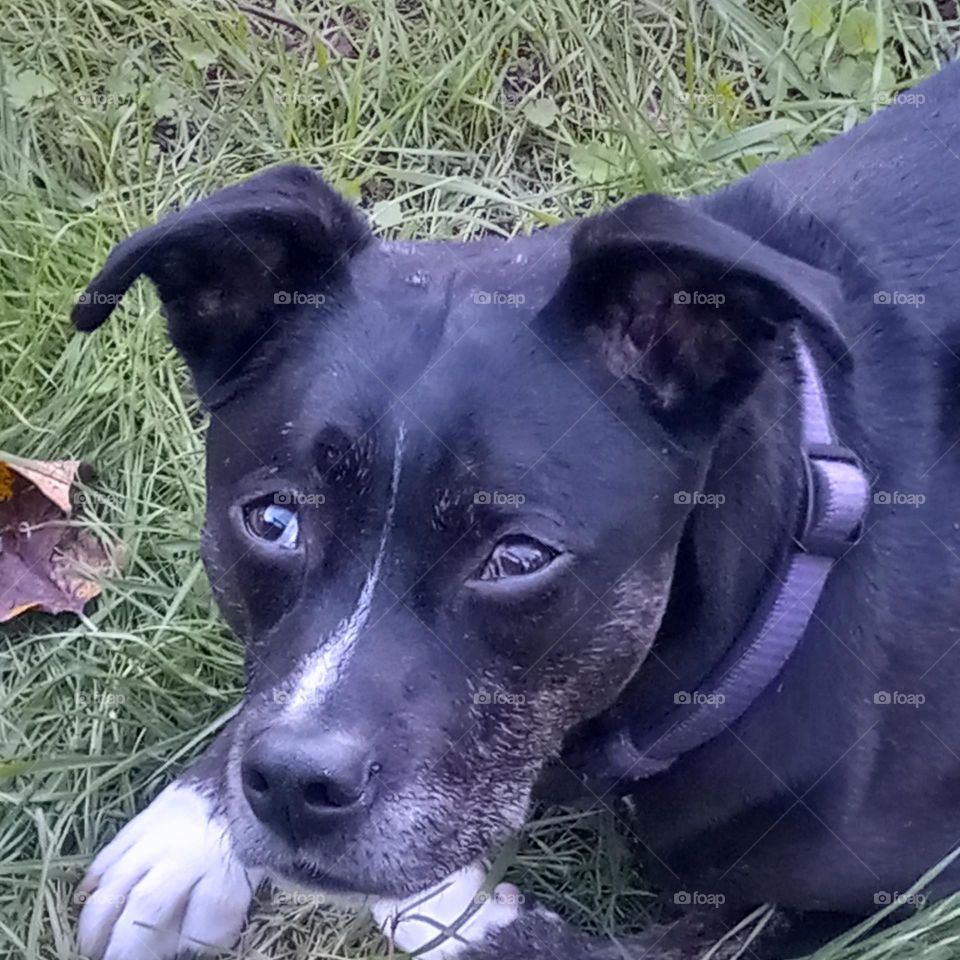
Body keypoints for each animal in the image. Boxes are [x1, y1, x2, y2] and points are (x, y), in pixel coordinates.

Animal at [73, 62, 960, 960]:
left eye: (520, 557)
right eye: (272, 520)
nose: (291, 782)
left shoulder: (891, 885)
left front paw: (457, 910)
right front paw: (189, 832)